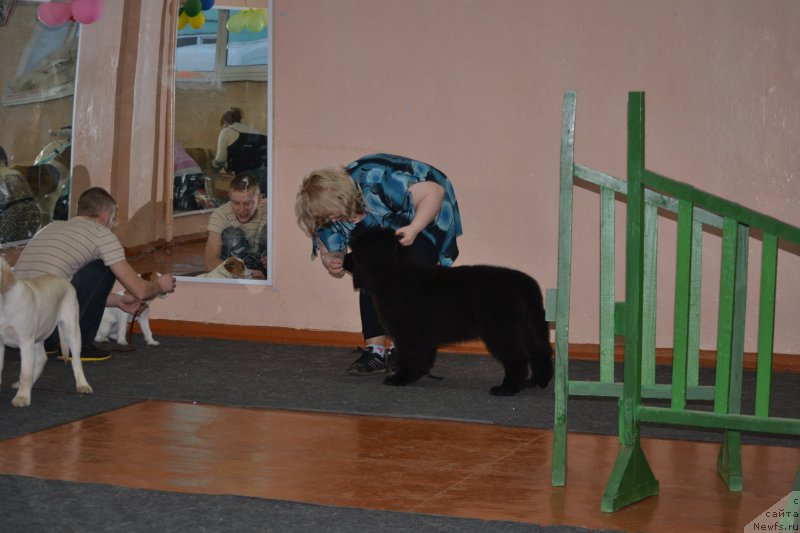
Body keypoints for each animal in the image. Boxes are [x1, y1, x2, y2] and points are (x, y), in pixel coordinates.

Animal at [0, 256, 91, 406]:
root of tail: (65, 281)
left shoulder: (25, 341)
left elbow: (25, 372)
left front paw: (22, 397)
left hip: (71, 329)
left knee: (76, 360)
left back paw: (83, 385)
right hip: (39, 335)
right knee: (42, 358)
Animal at [346, 225, 552, 394]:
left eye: (355, 252)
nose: (344, 258)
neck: (392, 272)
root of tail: (526, 285)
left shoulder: (407, 334)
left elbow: (408, 357)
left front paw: (400, 378)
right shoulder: (421, 337)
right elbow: (422, 357)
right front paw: (414, 375)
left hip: (501, 331)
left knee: (518, 358)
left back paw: (507, 389)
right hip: (530, 327)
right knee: (540, 352)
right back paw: (537, 381)